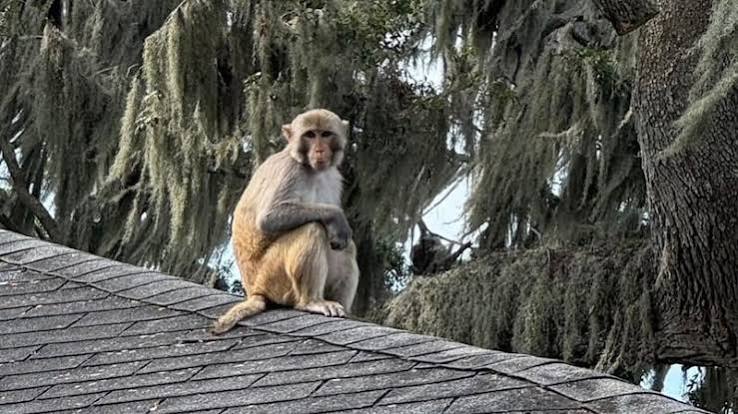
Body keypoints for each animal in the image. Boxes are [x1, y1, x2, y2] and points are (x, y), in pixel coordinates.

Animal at [211, 109, 359, 334]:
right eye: (310, 135)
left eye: (325, 134)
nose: (319, 150)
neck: (310, 168)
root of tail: (255, 291)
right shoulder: (290, 170)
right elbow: (269, 218)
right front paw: (336, 216)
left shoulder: (334, 178)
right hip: (272, 277)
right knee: (312, 228)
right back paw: (312, 301)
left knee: (347, 247)